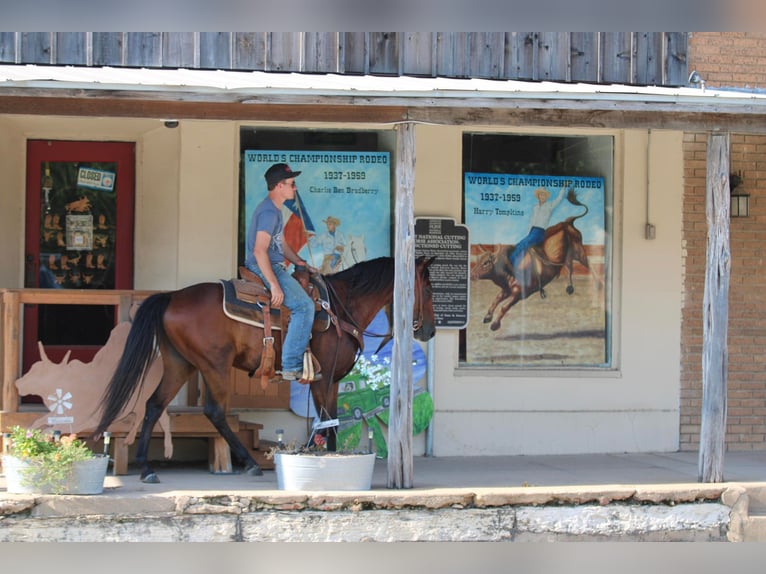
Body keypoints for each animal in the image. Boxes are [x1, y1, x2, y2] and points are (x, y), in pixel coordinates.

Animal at [94, 256, 438, 482]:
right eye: (430, 290)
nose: (430, 331)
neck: (340, 308)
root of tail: (172, 297)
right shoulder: (322, 378)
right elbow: (327, 420)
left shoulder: (331, 381)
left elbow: (330, 422)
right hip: (214, 366)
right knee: (214, 411)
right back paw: (249, 463)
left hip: (180, 364)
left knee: (154, 405)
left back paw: (146, 468)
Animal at [472, 190, 604, 332]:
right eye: (479, 260)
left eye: (486, 263)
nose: (472, 275)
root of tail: (568, 222)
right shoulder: (507, 289)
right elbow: (496, 299)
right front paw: (487, 316)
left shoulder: (518, 293)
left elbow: (504, 306)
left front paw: (495, 324)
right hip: (567, 255)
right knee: (569, 266)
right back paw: (570, 288)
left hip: (579, 252)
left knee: (588, 264)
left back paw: (599, 284)